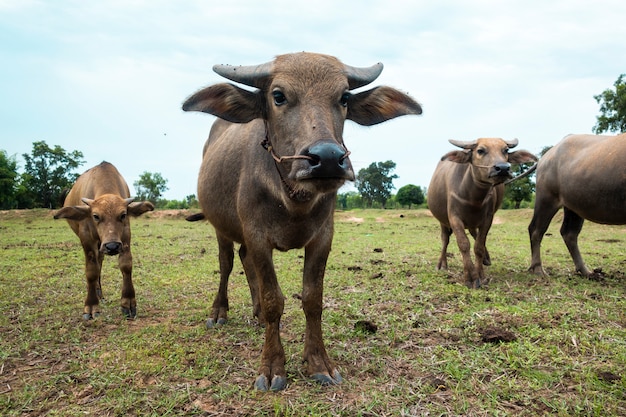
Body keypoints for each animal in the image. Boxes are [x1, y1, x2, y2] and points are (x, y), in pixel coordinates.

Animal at [55, 162, 155, 318]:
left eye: (123, 215)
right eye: (95, 216)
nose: (112, 246)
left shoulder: (125, 236)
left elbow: (126, 265)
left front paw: (128, 303)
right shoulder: (87, 239)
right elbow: (91, 270)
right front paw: (90, 306)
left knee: (100, 261)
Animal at [180, 52, 422, 390]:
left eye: (344, 97)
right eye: (278, 95)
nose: (328, 158)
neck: (294, 198)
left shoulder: (322, 238)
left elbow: (312, 299)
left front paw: (319, 362)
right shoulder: (257, 235)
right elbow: (274, 300)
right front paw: (272, 368)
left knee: (244, 259)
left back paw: (255, 312)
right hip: (220, 226)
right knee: (226, 263)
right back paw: (219, 312)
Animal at [428, 138, 536, 288]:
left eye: (506, 150)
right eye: (480, 150)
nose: (503, 168)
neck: (473, 198)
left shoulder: (487, 219)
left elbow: (478, 246)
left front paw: (480, 275)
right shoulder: (454, 218)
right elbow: (464, 244)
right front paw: (470, 278)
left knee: (474, 234)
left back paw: (486, 258)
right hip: (443, 221)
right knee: (445, 239)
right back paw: (442, 265)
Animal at [528, 133, 624, 276]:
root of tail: (545, 157)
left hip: (574, 206)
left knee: (569, 233)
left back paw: (586, 271)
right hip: (546, 199)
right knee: (536, 230)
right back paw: (538, 268)